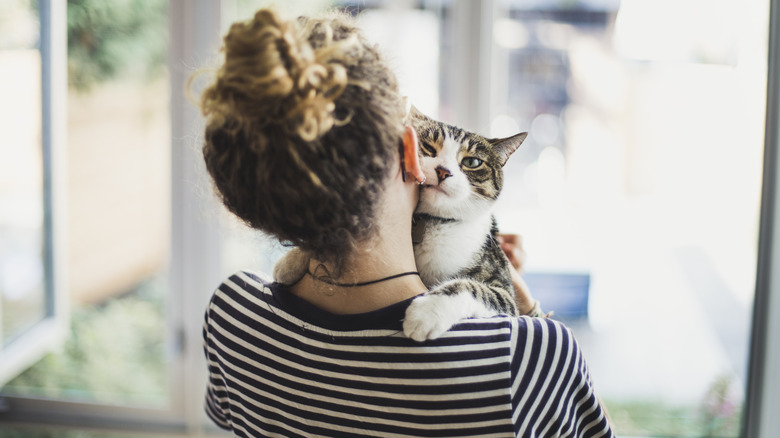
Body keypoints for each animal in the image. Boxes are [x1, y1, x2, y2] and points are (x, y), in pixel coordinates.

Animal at [272, 107, 528, 342]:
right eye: (428, 147)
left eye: (472, 162)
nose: (443, 171)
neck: (431, 224)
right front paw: (291, 261)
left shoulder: (504, 291)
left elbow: (472, 288)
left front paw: (426, 312)